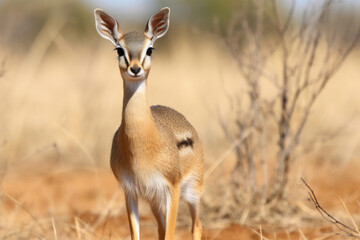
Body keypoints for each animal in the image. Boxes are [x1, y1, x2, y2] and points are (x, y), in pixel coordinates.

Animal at [94, 7, 204, 238]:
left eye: (150, 49)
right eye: (119, 50)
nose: (135, 69)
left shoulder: (171, 188)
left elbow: (171, 233)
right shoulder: (131, 191)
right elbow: (137, 234)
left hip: (192, 191)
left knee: (196, 225)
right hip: (154, 199)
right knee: (161, 227)